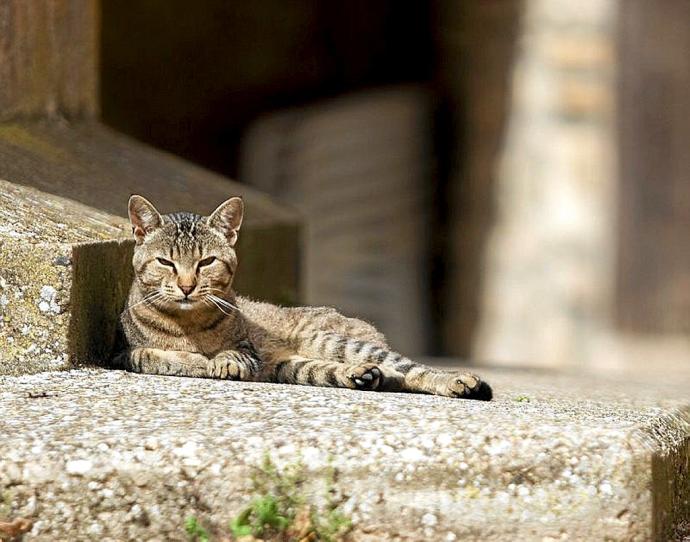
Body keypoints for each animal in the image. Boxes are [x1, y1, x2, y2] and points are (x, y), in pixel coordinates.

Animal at [114, 198, 490, 402]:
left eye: (206, 262)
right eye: (166, 262)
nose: (187, 286)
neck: (187, 323)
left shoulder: (249, 350)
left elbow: (232, 353)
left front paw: (222, 361)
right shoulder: (127, 353)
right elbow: (156, 356)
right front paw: (200, 360)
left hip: (331, 341)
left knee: (409, 370)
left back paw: (459, 382)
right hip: (295, 367)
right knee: (373, 374)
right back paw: (364, 376)